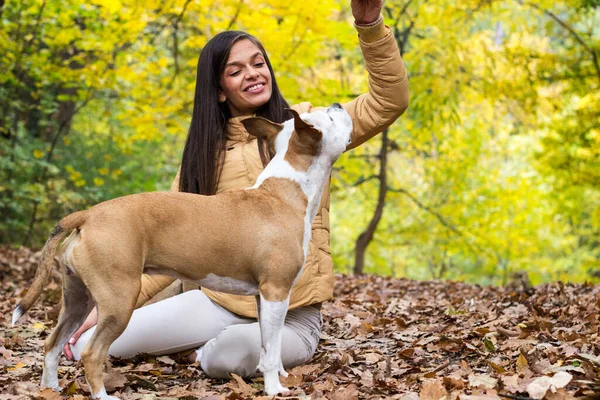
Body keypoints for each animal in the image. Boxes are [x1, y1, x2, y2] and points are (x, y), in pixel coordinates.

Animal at [11, 104, 354, 398]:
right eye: (328, 117)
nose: (338, 104)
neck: (285, 190)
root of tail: (89, 215)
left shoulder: (264, 297)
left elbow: (271, 343)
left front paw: (281, 374)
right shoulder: (275, 291)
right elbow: (269, 350)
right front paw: (273, 388)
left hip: (77, 300)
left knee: (53, 344)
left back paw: (50, 389)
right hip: (119, 301)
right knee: (92, 353)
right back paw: (103, 395)